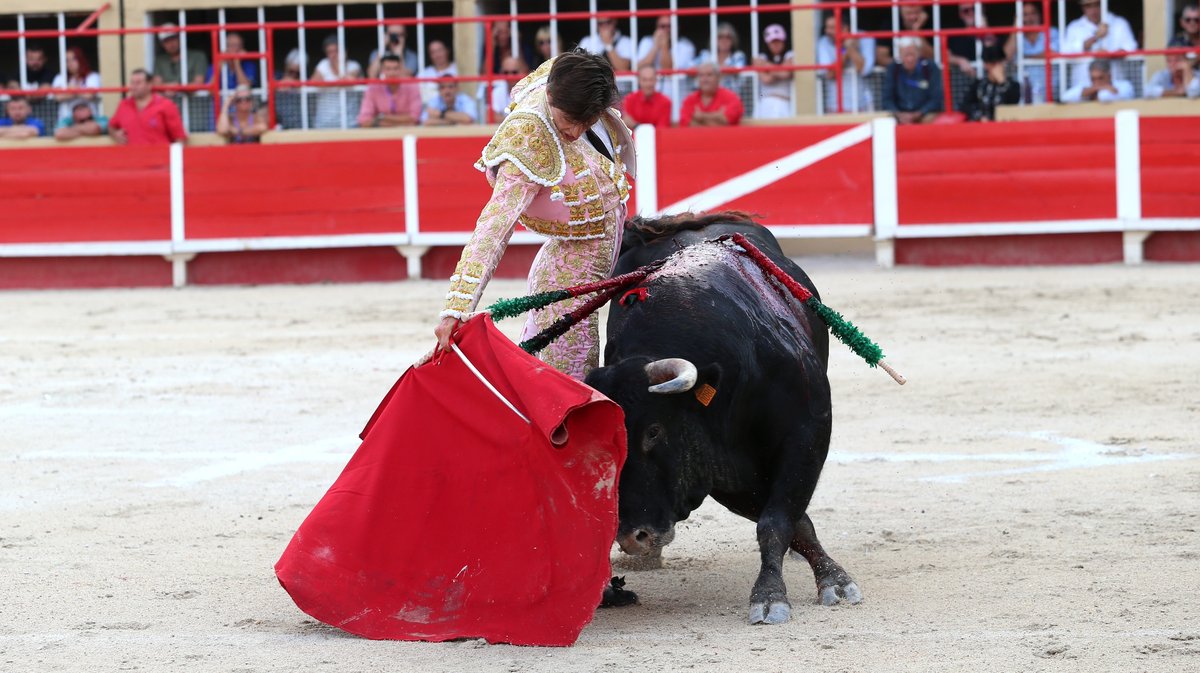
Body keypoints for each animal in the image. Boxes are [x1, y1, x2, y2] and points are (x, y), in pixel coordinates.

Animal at [583, 214, 859, 623]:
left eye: (654, 431)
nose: (634, 537)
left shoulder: (808, 433)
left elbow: (777, 521)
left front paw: (787, 593)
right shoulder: (720, 472)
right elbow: (790, 523)